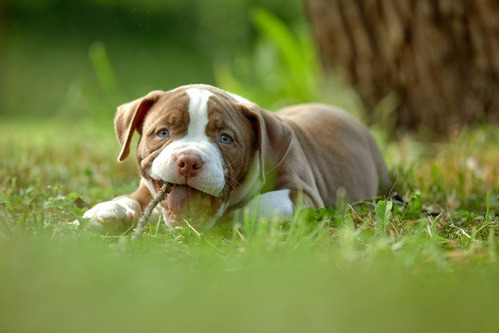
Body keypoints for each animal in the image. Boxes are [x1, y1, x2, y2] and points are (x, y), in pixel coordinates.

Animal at [83, 83, 390, 230]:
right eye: (163, 132)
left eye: (225, 139)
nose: (189, 161)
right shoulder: (147, 190)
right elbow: (131, 198)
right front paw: (106, 210)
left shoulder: (303, 195)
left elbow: (259, 206)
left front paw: (232, 219)